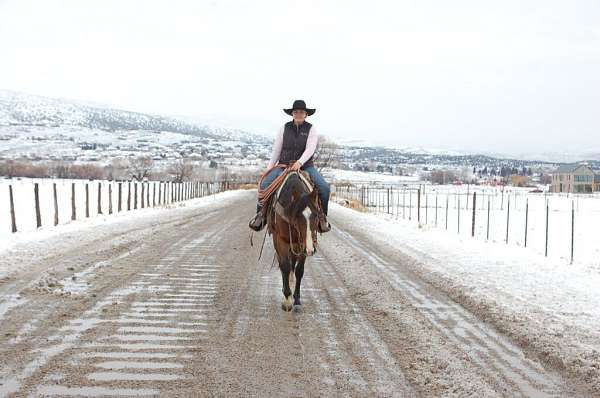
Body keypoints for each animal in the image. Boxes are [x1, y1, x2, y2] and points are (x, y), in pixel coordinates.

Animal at [266, 171, 322, 310]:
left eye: (317, 215)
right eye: (297, 217)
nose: (311, 250)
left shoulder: (302, 245)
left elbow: (299, 270)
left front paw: (296, 299)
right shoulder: (281, 241)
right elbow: (285, 267)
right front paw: (287, 299)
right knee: (284, 264)